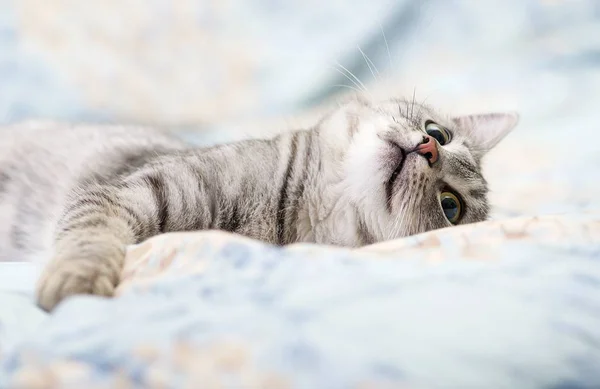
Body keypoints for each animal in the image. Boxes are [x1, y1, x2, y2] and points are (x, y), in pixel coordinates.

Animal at [0, 97, 516, 310]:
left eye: (450, 207)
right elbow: (91, 238)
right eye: (438, 133)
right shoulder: (126, 191)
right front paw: (78, 279)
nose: (427, 149)